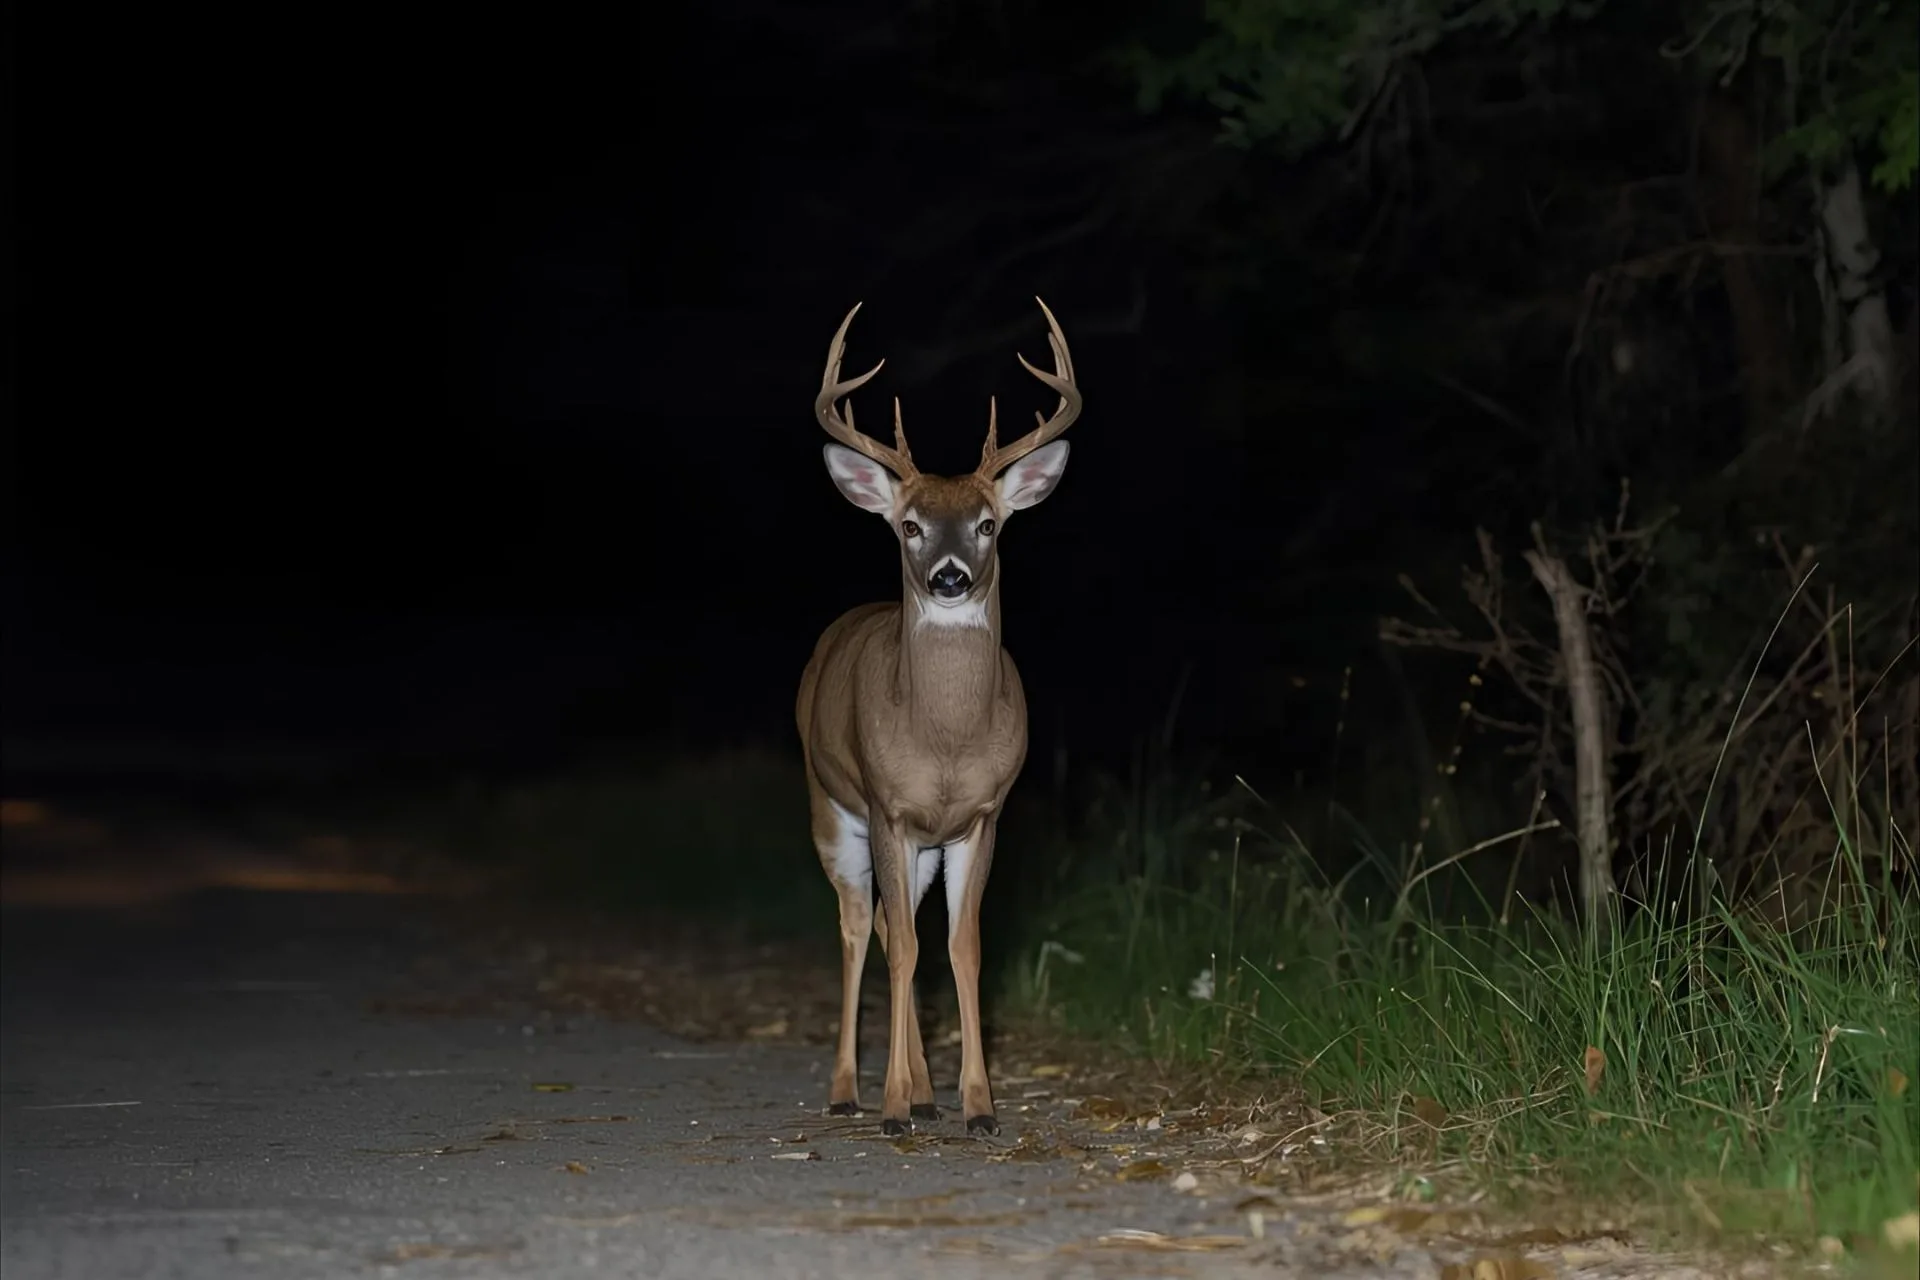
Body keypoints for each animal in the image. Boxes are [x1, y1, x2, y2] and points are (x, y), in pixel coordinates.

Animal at [795, 298, 1082, 1138]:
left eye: (988, 523)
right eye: (909, 526)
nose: (950, 577)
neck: (947, 744)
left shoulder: (980, 816)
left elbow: (961, 947)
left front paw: (978, 1105)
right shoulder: (888, 807)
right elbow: (900, 951)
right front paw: (892, 1106)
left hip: (919, 844)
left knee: (901, 930)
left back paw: (925, 1093)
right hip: (831, 809)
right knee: (861, 928)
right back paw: (851, 1091)